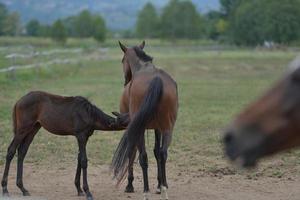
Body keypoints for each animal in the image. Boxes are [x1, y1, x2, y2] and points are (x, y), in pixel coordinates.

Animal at [110, 41, 178, 200]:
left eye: (122, 60)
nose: (126, 81)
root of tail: (156, 80)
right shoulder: (158, 128)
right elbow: (157, 152)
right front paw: (160, 185)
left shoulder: (134, 127)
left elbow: (132, 152)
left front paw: (129, 185)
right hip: (168, 128)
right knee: (163, 153)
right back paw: (164, 189)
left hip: (141, 129)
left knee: (143, 156)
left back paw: (146, 191)